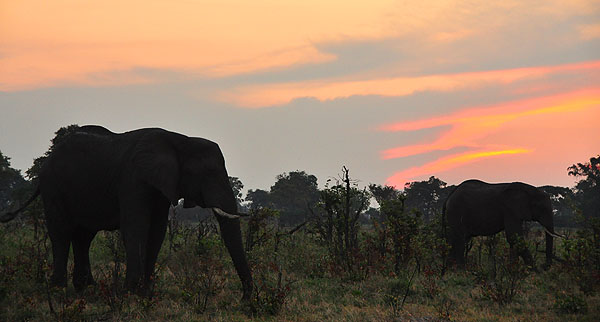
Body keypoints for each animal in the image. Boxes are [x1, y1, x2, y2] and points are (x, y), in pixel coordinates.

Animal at [0, 125, 252, 300]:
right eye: (208, 173)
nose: (245, 299)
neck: (179, 140)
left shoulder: (160, 186)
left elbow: (157, 232)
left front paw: (146, 294)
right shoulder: (134, 180)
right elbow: (136, 227)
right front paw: (130, 293)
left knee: (83, 237)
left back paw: (86, 288)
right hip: (54, 187)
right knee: (61, 233)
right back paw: (59, 290)